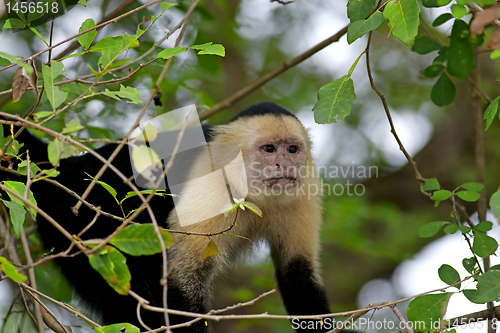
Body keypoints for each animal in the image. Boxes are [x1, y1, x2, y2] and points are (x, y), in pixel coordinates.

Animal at [5, 102, 338, 330]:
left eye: (292, 149)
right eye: (269, 149)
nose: (285, 165)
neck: (249, 191)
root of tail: (62, 168)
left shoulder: (303, 192)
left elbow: (298, 275)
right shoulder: (210, 182)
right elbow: (182, 281)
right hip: (71, 218)